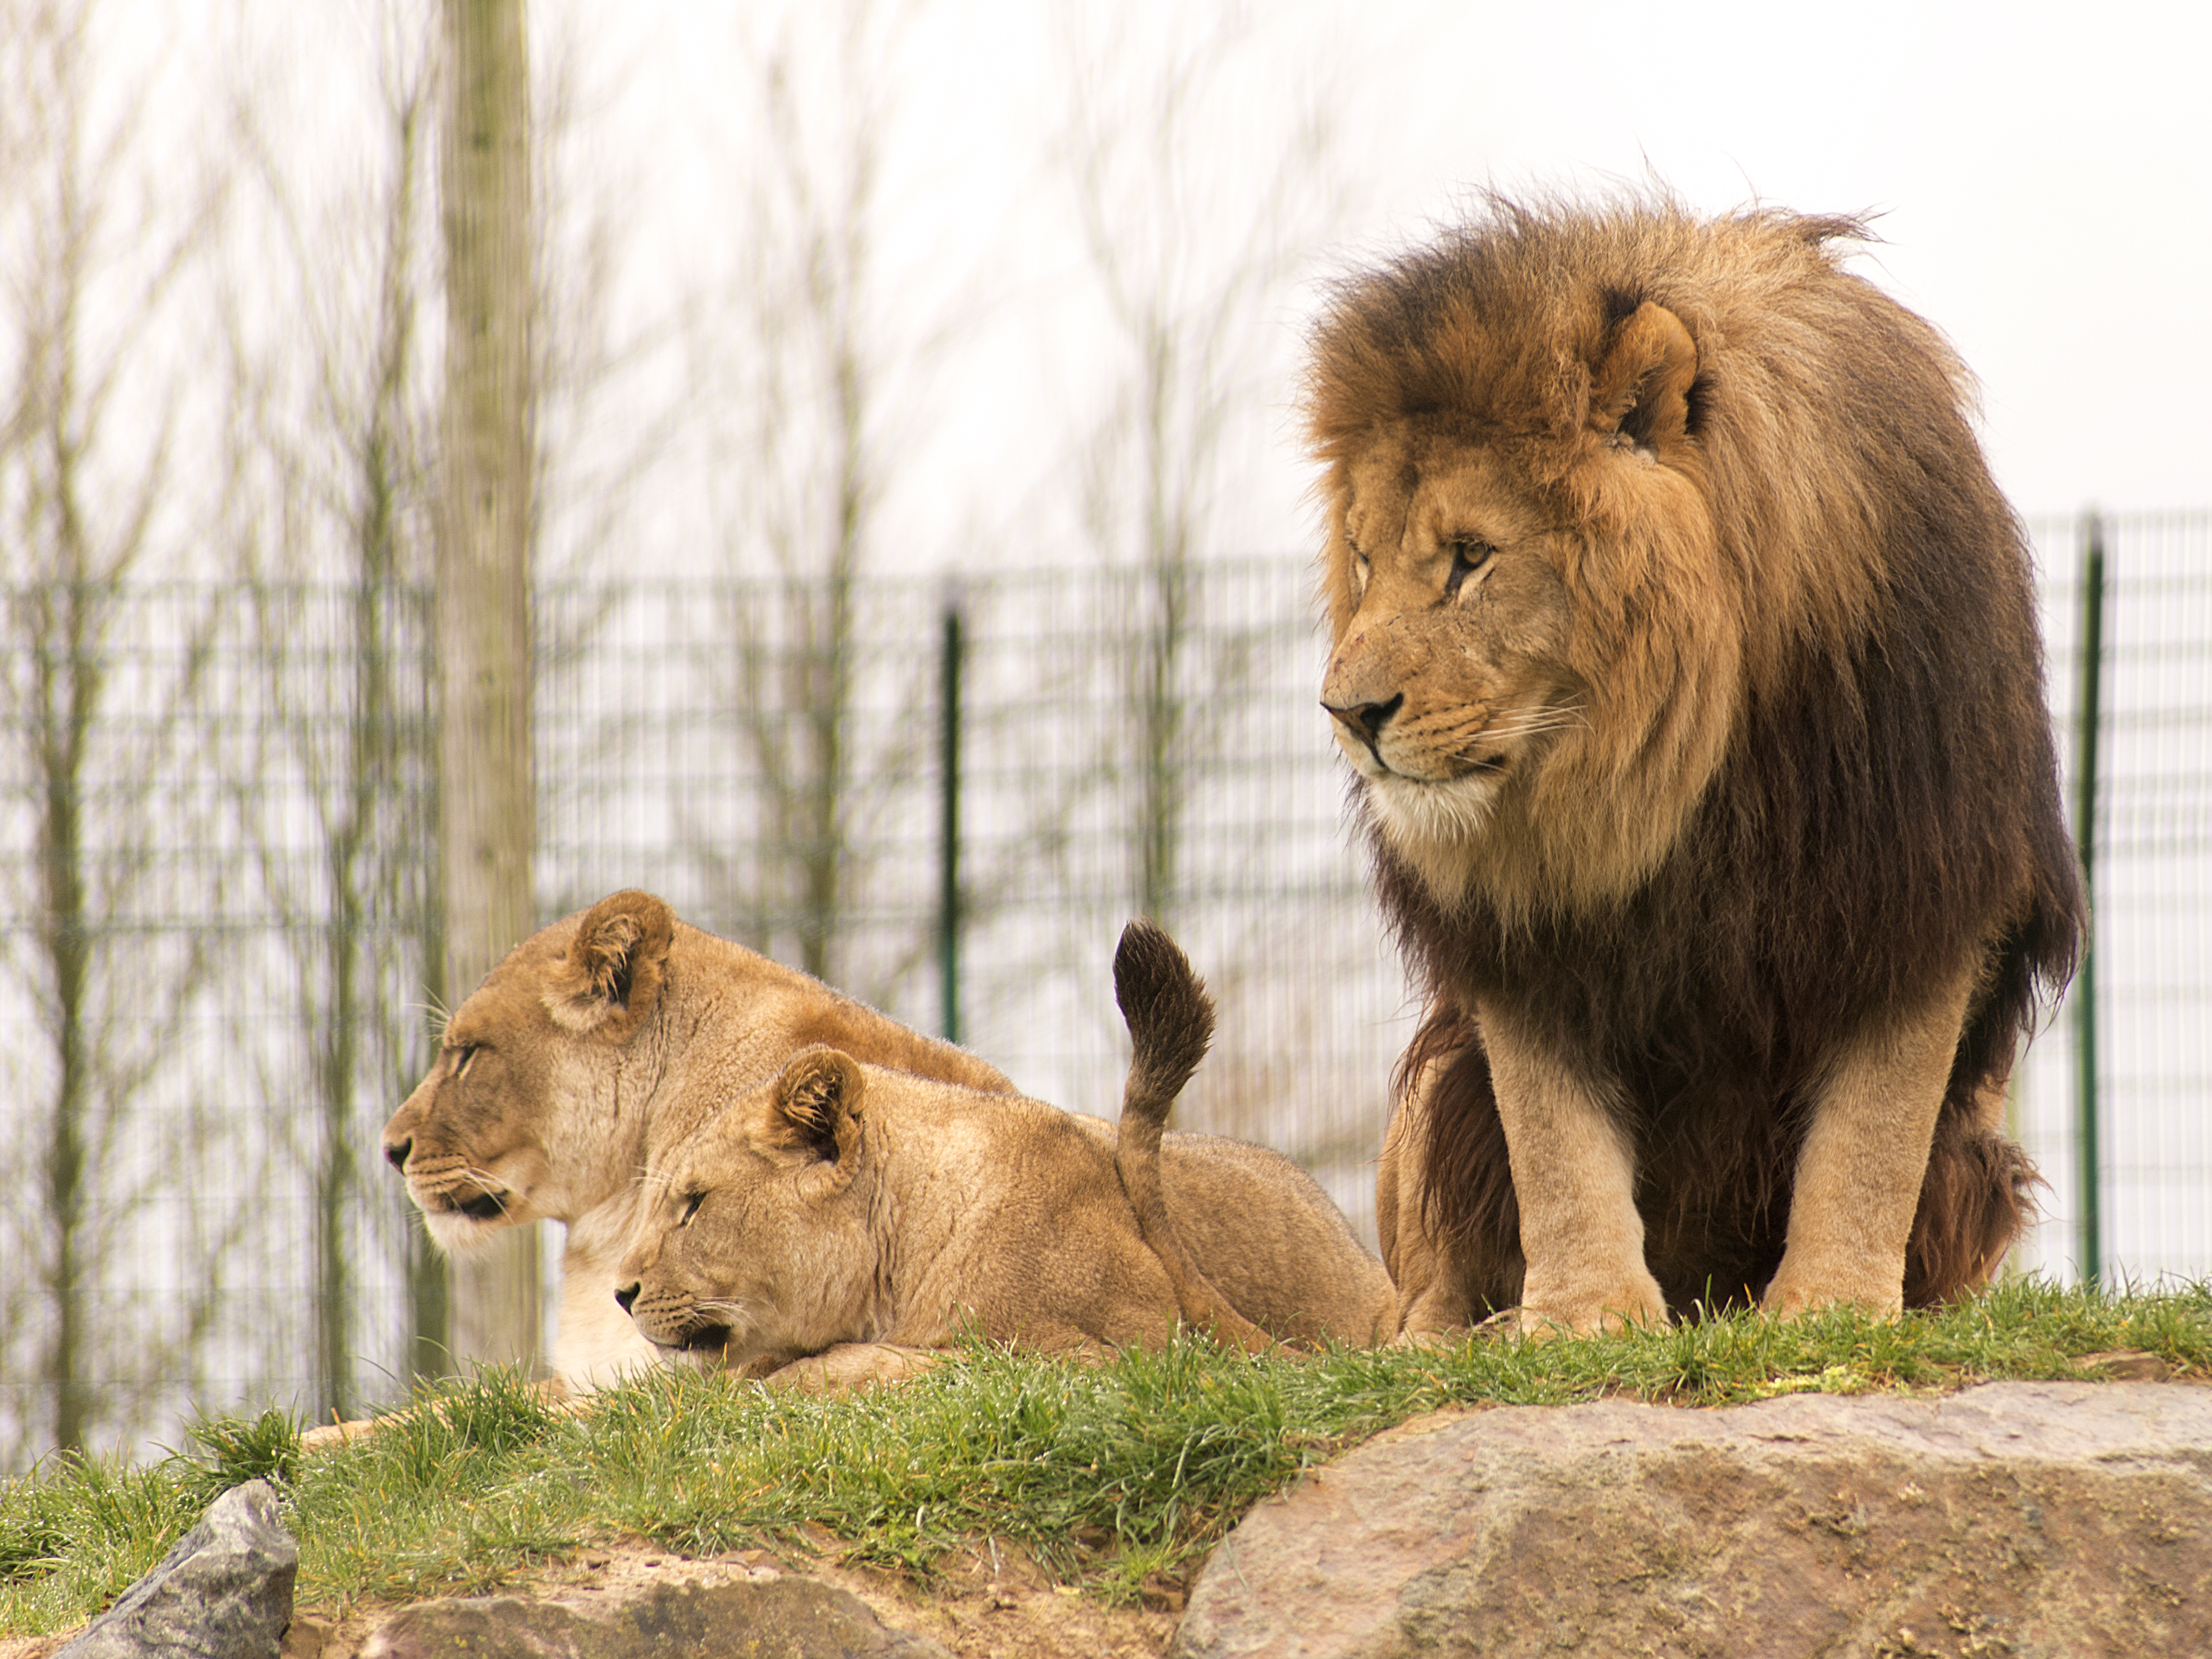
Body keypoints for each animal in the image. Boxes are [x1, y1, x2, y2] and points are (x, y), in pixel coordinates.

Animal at [1309, 195, 2088, 1336]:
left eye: (1470, 558)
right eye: (1364, 562)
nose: (1348, 713)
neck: (1683, 759)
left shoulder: (1924, 879)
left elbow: (1874, 1131)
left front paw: (1829, 1307)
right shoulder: (1523, 915)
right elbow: (1551, 1140)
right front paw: (1584, 1314)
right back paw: (1447, 1338)